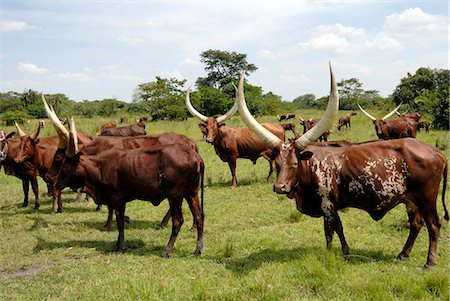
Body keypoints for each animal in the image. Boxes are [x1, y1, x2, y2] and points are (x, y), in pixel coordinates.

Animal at [55, 118, 206, 256]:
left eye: (66, 166)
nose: (56, 184)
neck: (100, 166)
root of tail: (194, 155)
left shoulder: (117, 198)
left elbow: (120, 222)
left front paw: (120, 245)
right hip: (192, 194)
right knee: (199, 217)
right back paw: (198, 249)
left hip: (175, 196)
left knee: (178, 221)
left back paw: (167, 250)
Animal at [237, 62, 448, 268]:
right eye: (278, 163)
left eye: (295, 163)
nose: (280, 187)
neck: (312, 166)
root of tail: (437, 152)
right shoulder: (333, 206)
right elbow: (339, 228)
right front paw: (346, 252)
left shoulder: (327, 204)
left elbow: (329, 232)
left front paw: (328, 255)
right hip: (411, 200)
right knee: (416, 224)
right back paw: (403, 254)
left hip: (427, 198)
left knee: (433, 224)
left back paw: (430, 262)